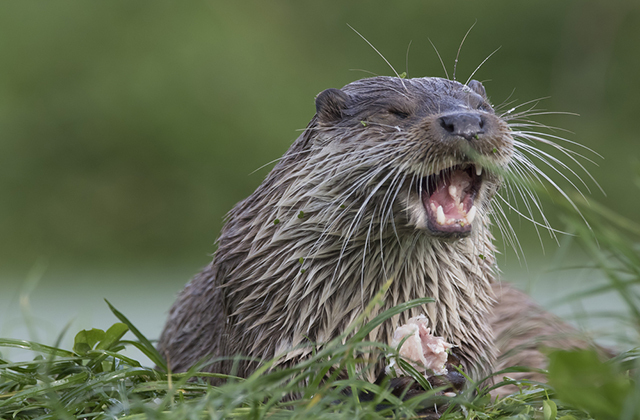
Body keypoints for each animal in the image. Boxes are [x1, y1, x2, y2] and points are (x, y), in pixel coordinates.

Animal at [156, 74, 580, 384]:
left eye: (482, 107)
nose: (465, 122)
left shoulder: (471, 321)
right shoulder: (260, 321)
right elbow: (287, 379)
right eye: (397, 112)